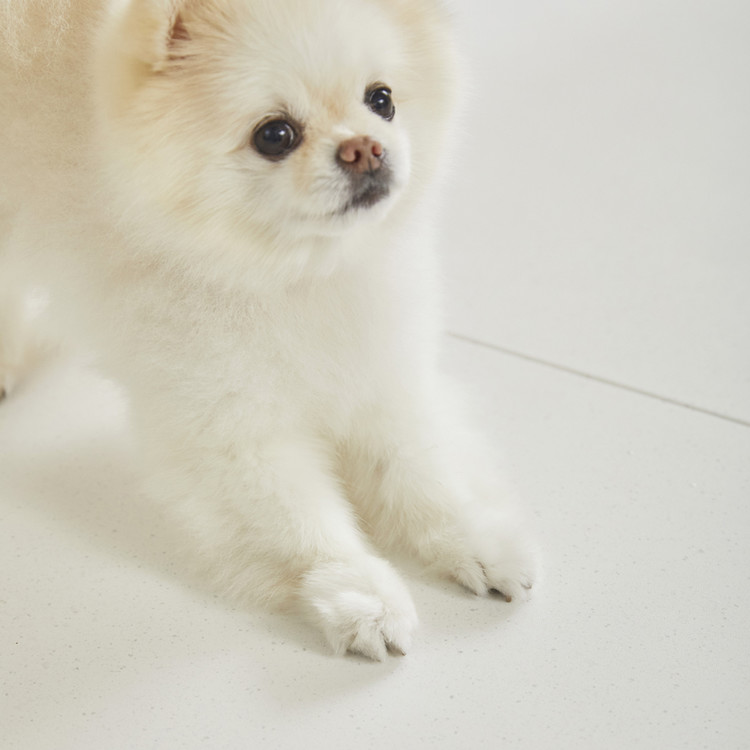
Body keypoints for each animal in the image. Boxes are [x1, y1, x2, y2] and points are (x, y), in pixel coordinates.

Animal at [0, 0, 535, 660]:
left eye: (381, 98)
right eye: (274, 136)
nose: (364, 148)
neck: (295, 277)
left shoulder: (380, 371)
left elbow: (421, 474)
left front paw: (474, 541)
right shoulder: (229, 431)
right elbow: (305, 525)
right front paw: (365, 599)